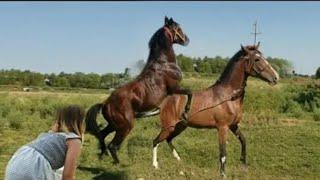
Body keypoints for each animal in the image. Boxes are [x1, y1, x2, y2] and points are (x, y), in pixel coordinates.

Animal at [84, 17, 192, 165]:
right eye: (178, 28)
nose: (187, 40)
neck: (164, 64)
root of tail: (105, 104)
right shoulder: (174, 89)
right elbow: (190, 92)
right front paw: (186, 112)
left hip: (114, 125)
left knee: (102, 135)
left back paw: (102, 156)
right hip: (125, 126)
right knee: (113, 145)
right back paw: (118, 164)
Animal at [151, 43, 278, 176]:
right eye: (257, 59)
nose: (275, 77)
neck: (228, 97)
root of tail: (165, 102)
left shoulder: (233, 126)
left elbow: (243, 141)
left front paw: (244, 166)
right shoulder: (222, 128)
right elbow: (223, 153)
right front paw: (223, 174)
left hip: (180, 126)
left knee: (168, 139)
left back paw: (178, 159)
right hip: (168, 127)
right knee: (155, 141)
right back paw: (155, 165)